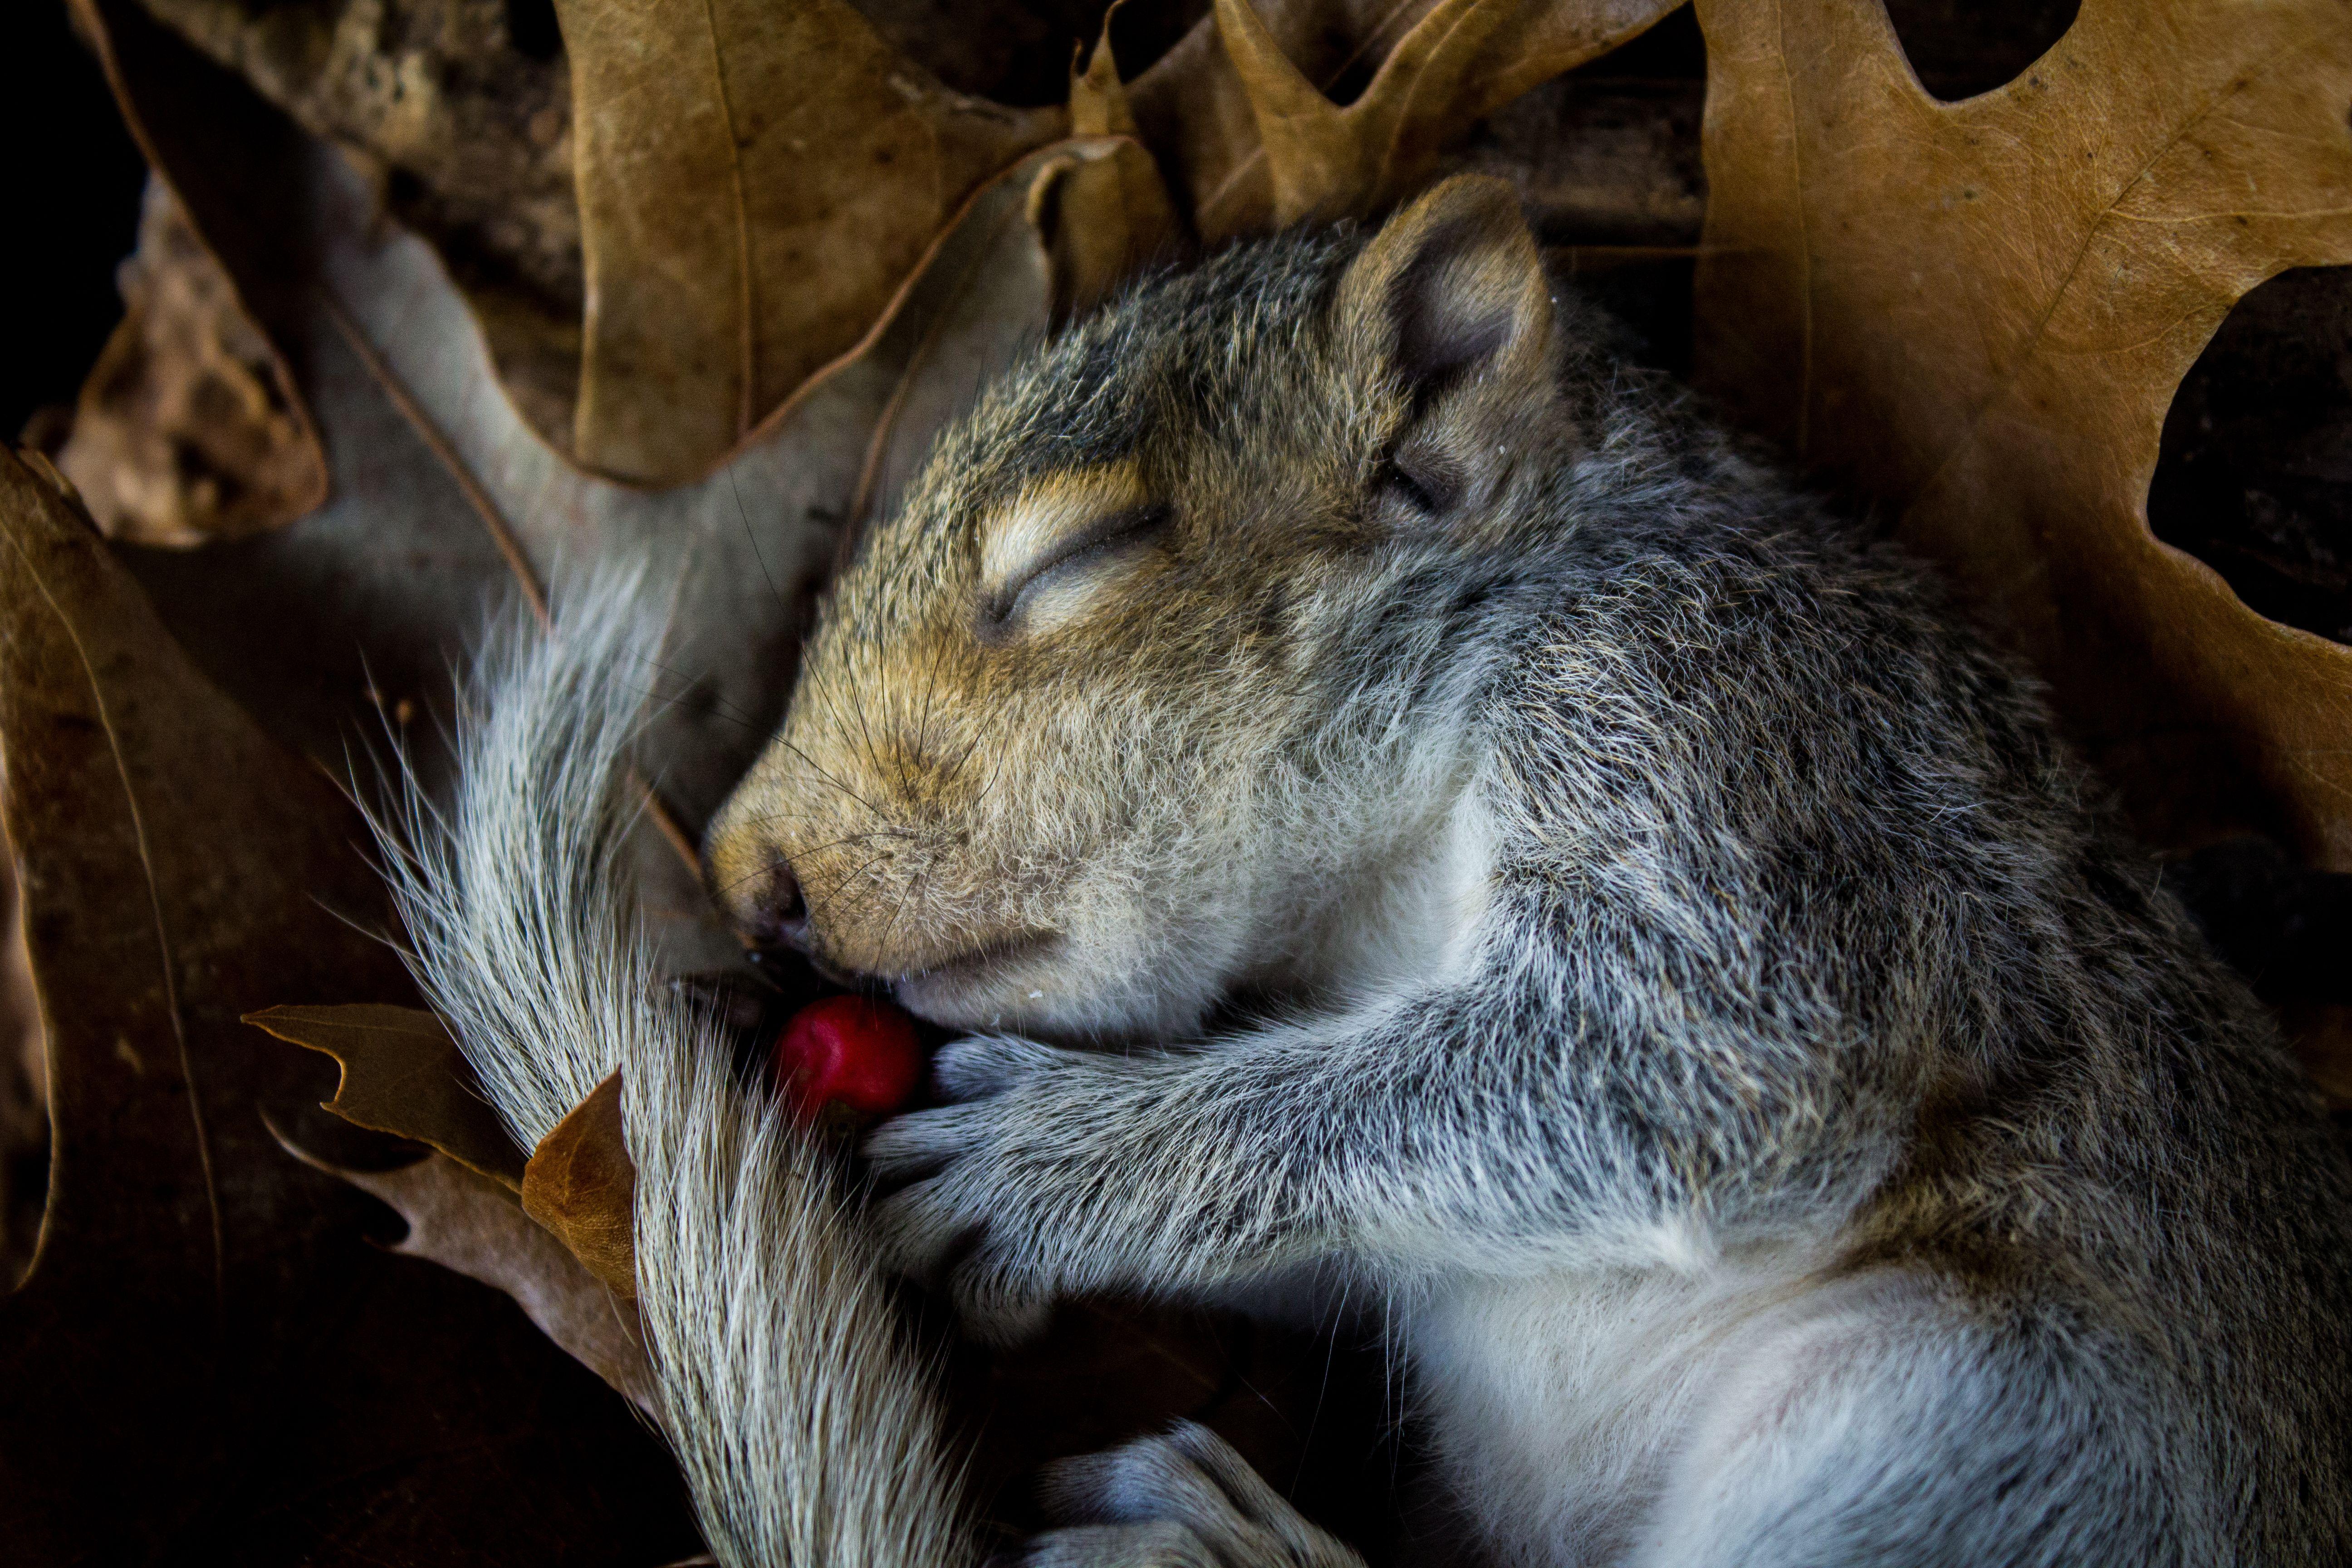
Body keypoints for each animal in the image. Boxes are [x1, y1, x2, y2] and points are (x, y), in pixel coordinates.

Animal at [681, 173, 2352, 1564]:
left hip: (1979, 1430)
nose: (746, 871)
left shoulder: (1726, 725)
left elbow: (1683, 1054)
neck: (1377, 887)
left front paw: (1047, 1162)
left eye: (1079, 559)